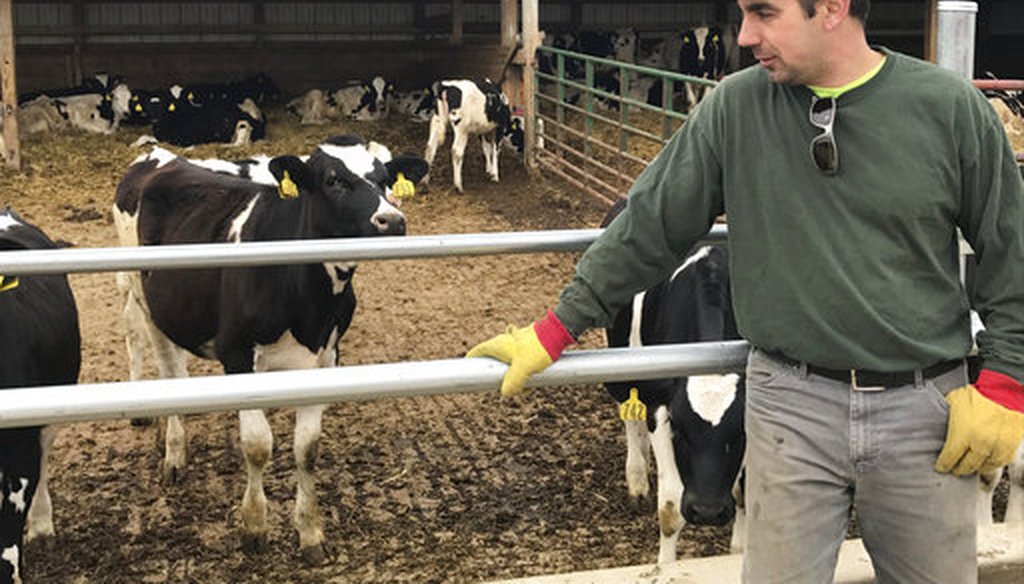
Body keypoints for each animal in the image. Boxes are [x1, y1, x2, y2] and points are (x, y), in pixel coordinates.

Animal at [112, 134, 428, 561]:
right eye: (333, 180)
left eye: (384, 180)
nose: (391, 221)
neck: (308, 301)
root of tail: (159, 155)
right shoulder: (237, 355)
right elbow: (258, 445)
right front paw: (255, 526)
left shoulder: (326, 358)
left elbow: (307, 448)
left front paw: (310, 532)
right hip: (144, 298)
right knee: (164, 362)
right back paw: (173, 453)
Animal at [598, 198, 745, 557]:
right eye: (680, 429)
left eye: (739, 433)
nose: (707, 511)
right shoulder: (660, 407)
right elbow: (670, 510)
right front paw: (665, 564)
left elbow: (742, 496)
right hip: (622, 368)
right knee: (629, 415)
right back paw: (637, 479)